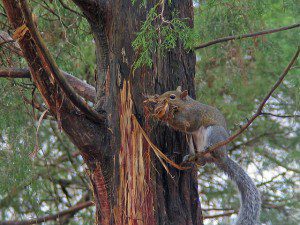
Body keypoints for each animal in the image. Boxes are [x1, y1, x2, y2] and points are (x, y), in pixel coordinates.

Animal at [144, 85, 262, 223]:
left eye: (172, 97)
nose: (158, 99)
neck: (186, 106)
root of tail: (223, 157)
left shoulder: (195, 116)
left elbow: (189, 124)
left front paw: (166, 117)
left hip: (214, 133)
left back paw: (209, 148)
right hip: (191, 141)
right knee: (202, 161)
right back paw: (191, 157)